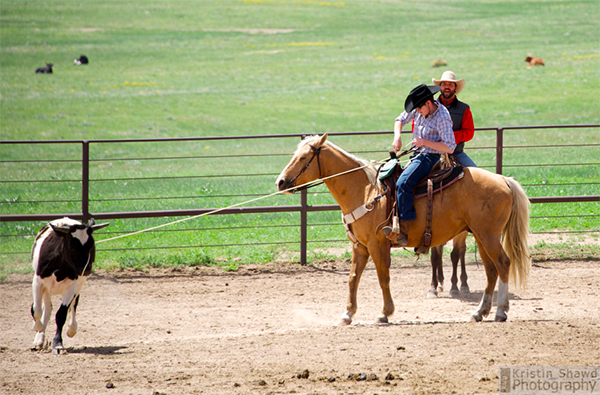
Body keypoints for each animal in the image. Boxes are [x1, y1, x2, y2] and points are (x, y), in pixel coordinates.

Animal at [30, 218, 108, 354]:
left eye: (91, 245)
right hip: (47, 288)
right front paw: (38, 327)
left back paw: (72, 328)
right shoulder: (38, 282)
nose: (86, 268)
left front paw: (58, 344)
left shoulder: (71, 287)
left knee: (73, 305)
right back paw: (39, 340)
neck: (60, 267)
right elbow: (36, 310)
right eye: (72, 247)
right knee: (47, 308)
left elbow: (61, 315)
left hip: (79, 284)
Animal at [276, 135, 528, 324]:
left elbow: (383, 277)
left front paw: (385, 313)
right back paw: (479, 312)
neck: (366, 191)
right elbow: (353, 279)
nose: (280, 182)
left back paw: (500, 311)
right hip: (482, 236)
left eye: (304, 157)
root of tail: (503, 180)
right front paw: (347, 314)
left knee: (503, 263)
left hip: (488, 236)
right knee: (491, 270)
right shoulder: (359, 246)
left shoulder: (377, 244)